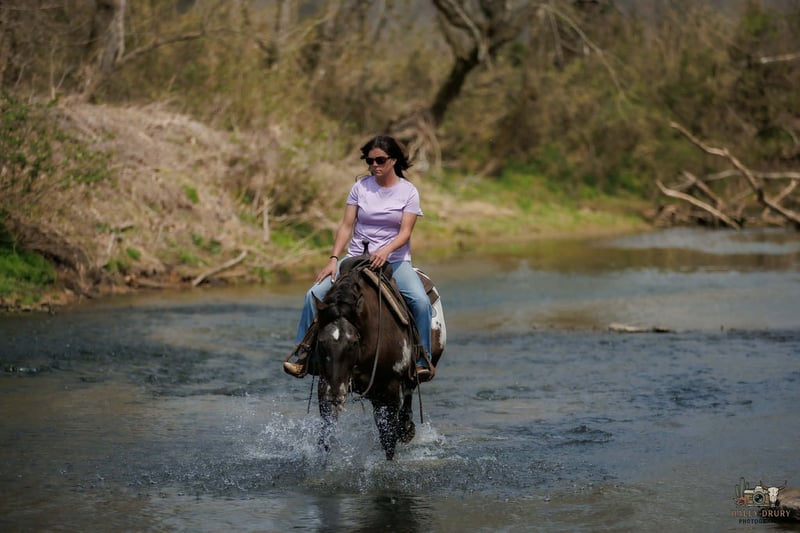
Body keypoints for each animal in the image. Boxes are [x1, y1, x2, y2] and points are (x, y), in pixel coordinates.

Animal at [312, 255, 445, 460]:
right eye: (320, 341)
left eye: (353, 343)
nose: (335, 395)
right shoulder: (325, 384)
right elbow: (326, 435)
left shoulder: (389, 390)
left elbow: (388, 441)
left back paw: (406, 429)